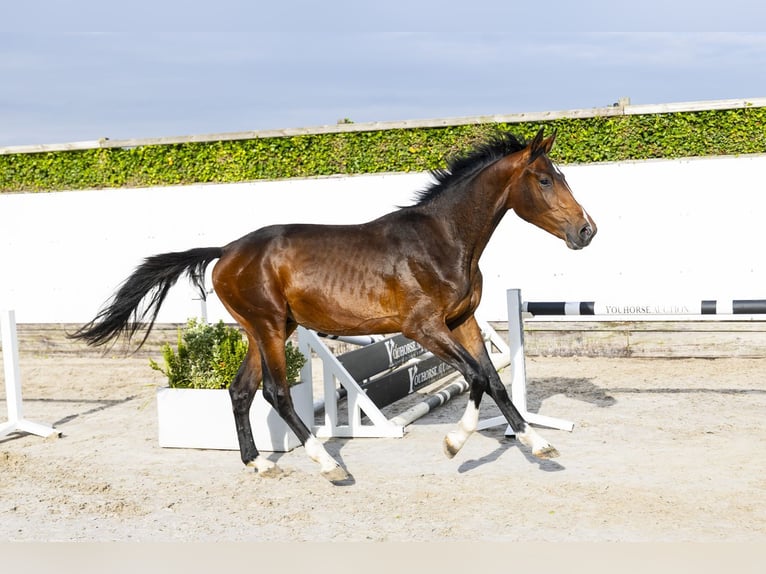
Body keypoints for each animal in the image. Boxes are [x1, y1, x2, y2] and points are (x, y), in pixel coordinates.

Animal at [71, 127, 596, 484]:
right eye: (545, 180)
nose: (587, 231)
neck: (443, 240)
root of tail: (225, 251)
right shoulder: (423, 328)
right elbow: (477, 377)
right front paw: (454, 443)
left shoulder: (462, 321)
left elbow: (493, 380)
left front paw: (537, 443)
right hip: (268, 327)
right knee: (275, 394)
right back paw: (326, 464)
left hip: (268, 330)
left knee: (240, 391)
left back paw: (258, 463)